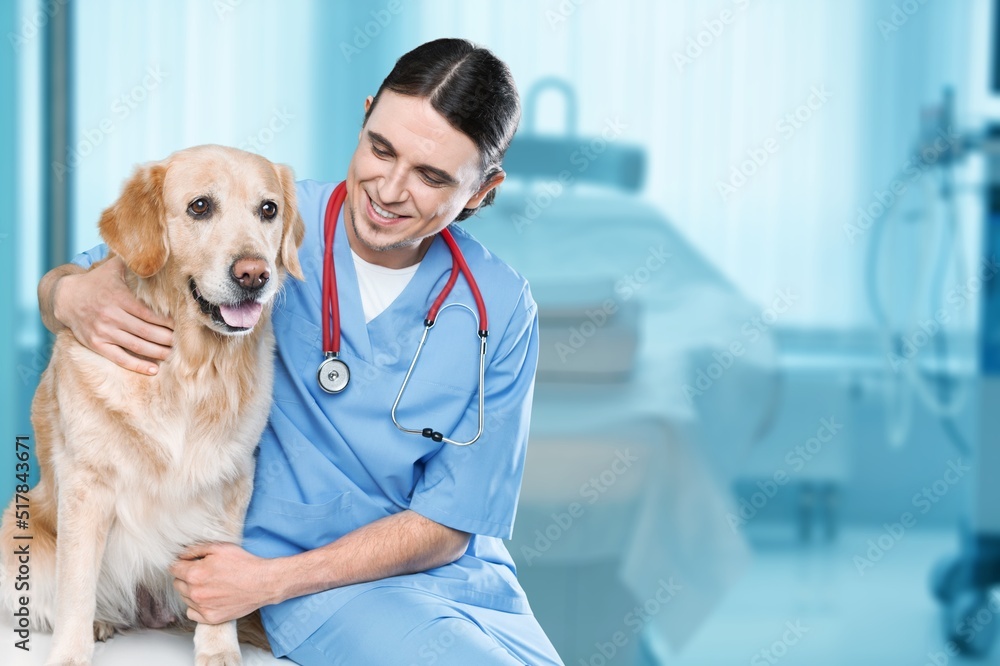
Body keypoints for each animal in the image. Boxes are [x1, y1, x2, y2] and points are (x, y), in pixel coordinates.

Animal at [0, 145, 304, 664]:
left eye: (269, 209)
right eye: (200, 207)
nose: (254, 274)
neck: (189, 369)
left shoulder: (231, 479)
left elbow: (219, 574)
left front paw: (218, 649)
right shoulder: (86, 484)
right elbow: (75, 587)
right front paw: (70, 654)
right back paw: (100, 622)